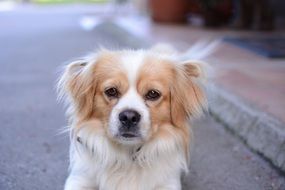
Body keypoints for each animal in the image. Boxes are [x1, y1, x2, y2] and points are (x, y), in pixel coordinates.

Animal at [57, 43, 210, 190]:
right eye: (111, 91)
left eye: (153, 94)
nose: (129, 116)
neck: (127, 154)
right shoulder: (79, 180)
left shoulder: (168, 183)